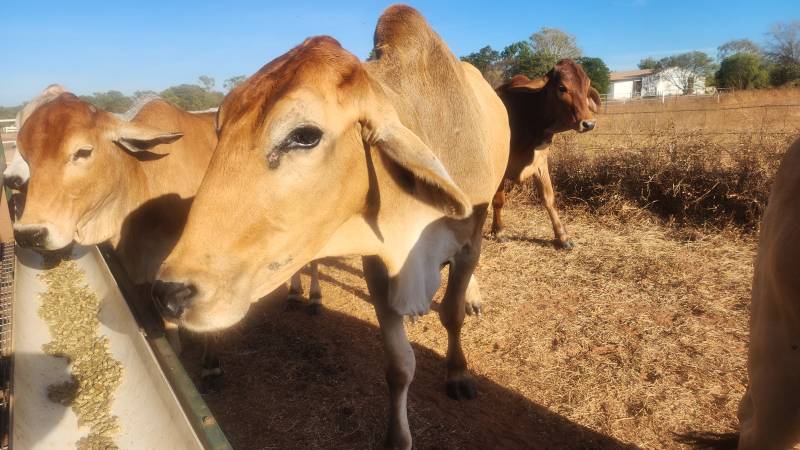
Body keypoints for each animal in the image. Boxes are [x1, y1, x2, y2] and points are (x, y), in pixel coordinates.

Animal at [151, 5, 509, 448]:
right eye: (220, 130)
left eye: (304, 135)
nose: (169, 293)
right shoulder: (379, 262)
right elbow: (398, 365)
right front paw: (396, 436)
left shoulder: (467, 244)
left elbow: (452, 314)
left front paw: (458, 372)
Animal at [491, 61, 600, 249]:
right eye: (562, 87)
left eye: (587, 87)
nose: (589, 123)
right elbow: (499, 200)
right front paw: (499, 231)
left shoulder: (540, 163)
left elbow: (549, 199)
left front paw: (563, 237)